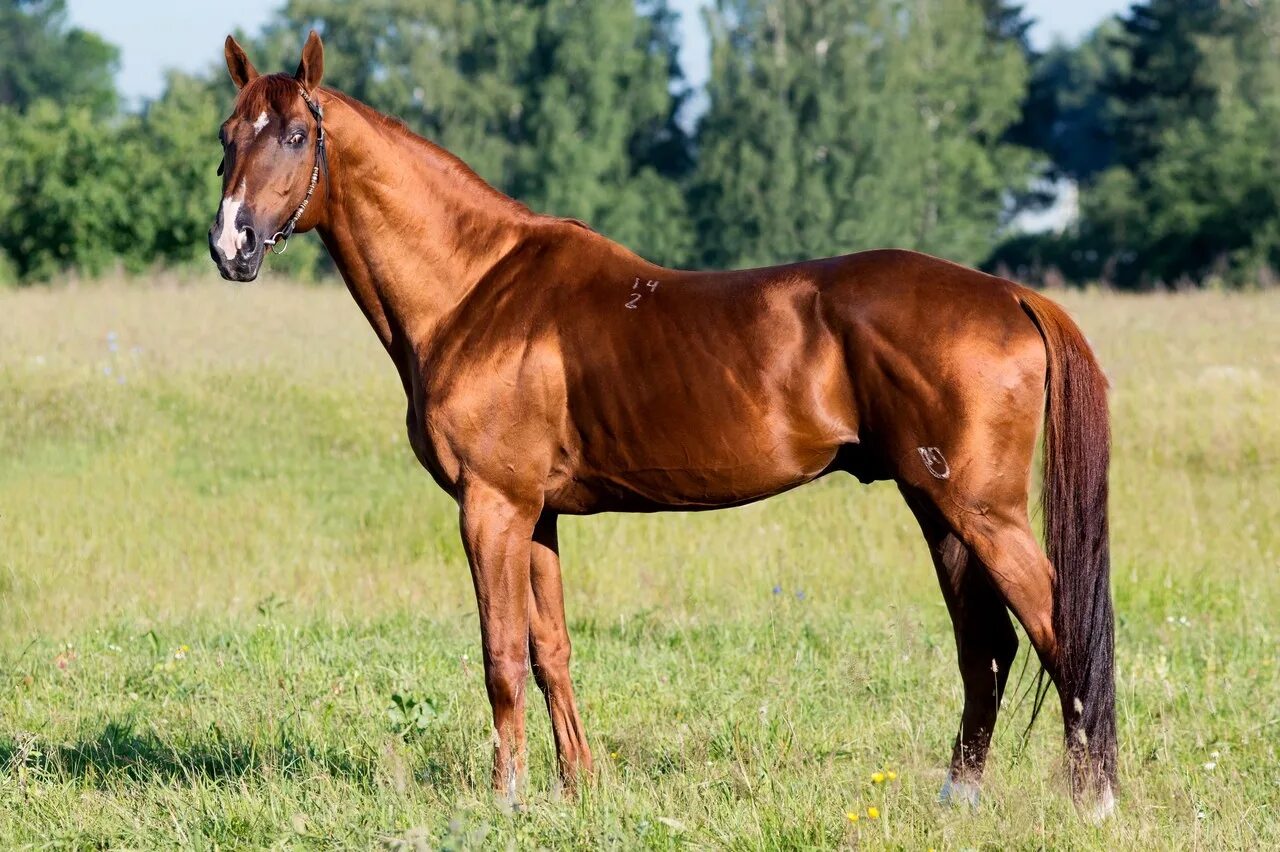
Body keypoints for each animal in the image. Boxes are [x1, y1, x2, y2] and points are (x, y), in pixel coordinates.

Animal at [207, 31, 1111, 818]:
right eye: (227, 134)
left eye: (295, 134)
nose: (230, 243)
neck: (477, 288)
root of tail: (1010, 295)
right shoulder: (538, 517)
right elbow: (550, 651)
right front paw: (576, 789)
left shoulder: (491, 508)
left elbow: (501, 656)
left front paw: (506, 799)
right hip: (939, 510)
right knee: (986, 645)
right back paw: (960, 797)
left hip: (981, 512)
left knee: (1056, 630)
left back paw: (1093, 801)